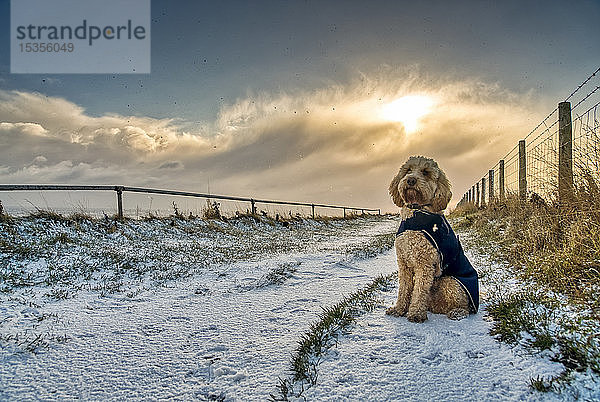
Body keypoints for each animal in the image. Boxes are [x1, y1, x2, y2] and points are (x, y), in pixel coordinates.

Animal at [386, 155, 480, 322]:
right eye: (408, 170)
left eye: (425, 172)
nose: (411, 180)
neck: (415, 215)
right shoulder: (404, 264)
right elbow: (404, 289)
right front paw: (399, 309)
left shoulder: (425, 264)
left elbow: (419, 291)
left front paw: (416, 313)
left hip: (450, 282)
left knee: (464, 306)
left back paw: (457, 312)